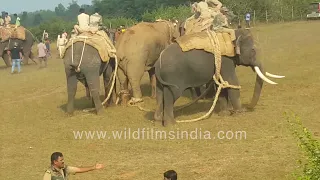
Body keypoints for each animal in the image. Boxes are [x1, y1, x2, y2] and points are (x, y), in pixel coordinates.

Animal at [154, 28, 284, 126]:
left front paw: (224, 114)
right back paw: (171, 124)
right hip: (173, 77)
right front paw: (240, 113)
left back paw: (158, 120)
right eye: (253, 50)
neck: (233, 34)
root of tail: (158, 61)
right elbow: (231, 81)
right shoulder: (226, 59)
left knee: (160, 95)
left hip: (161, 79)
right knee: (171, 95)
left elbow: (222, 84)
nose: (247, 107)